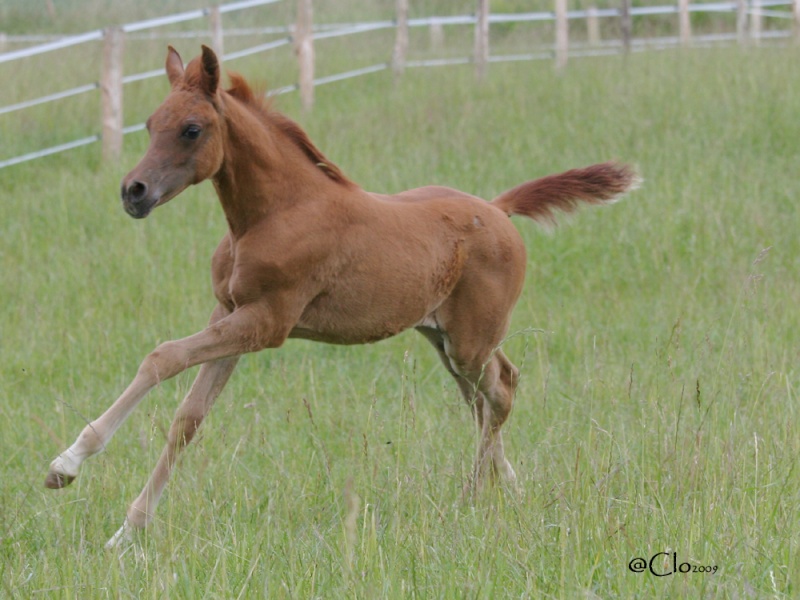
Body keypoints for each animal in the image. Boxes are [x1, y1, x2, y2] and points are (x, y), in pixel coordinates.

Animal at [48, 44, 636, 548]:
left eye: (192, 129)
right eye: (150, 125)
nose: (134, 192)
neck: (275, 213)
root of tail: (497, 208)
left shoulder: (266, 323)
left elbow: (161, 357)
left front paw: (67, 464)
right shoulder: (230, 313)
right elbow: (188, 419)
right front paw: (125, 533)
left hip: (470, 339)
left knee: (501, 390)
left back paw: (472, 496)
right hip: (443, 337)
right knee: (486, 396)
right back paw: (506, 486)